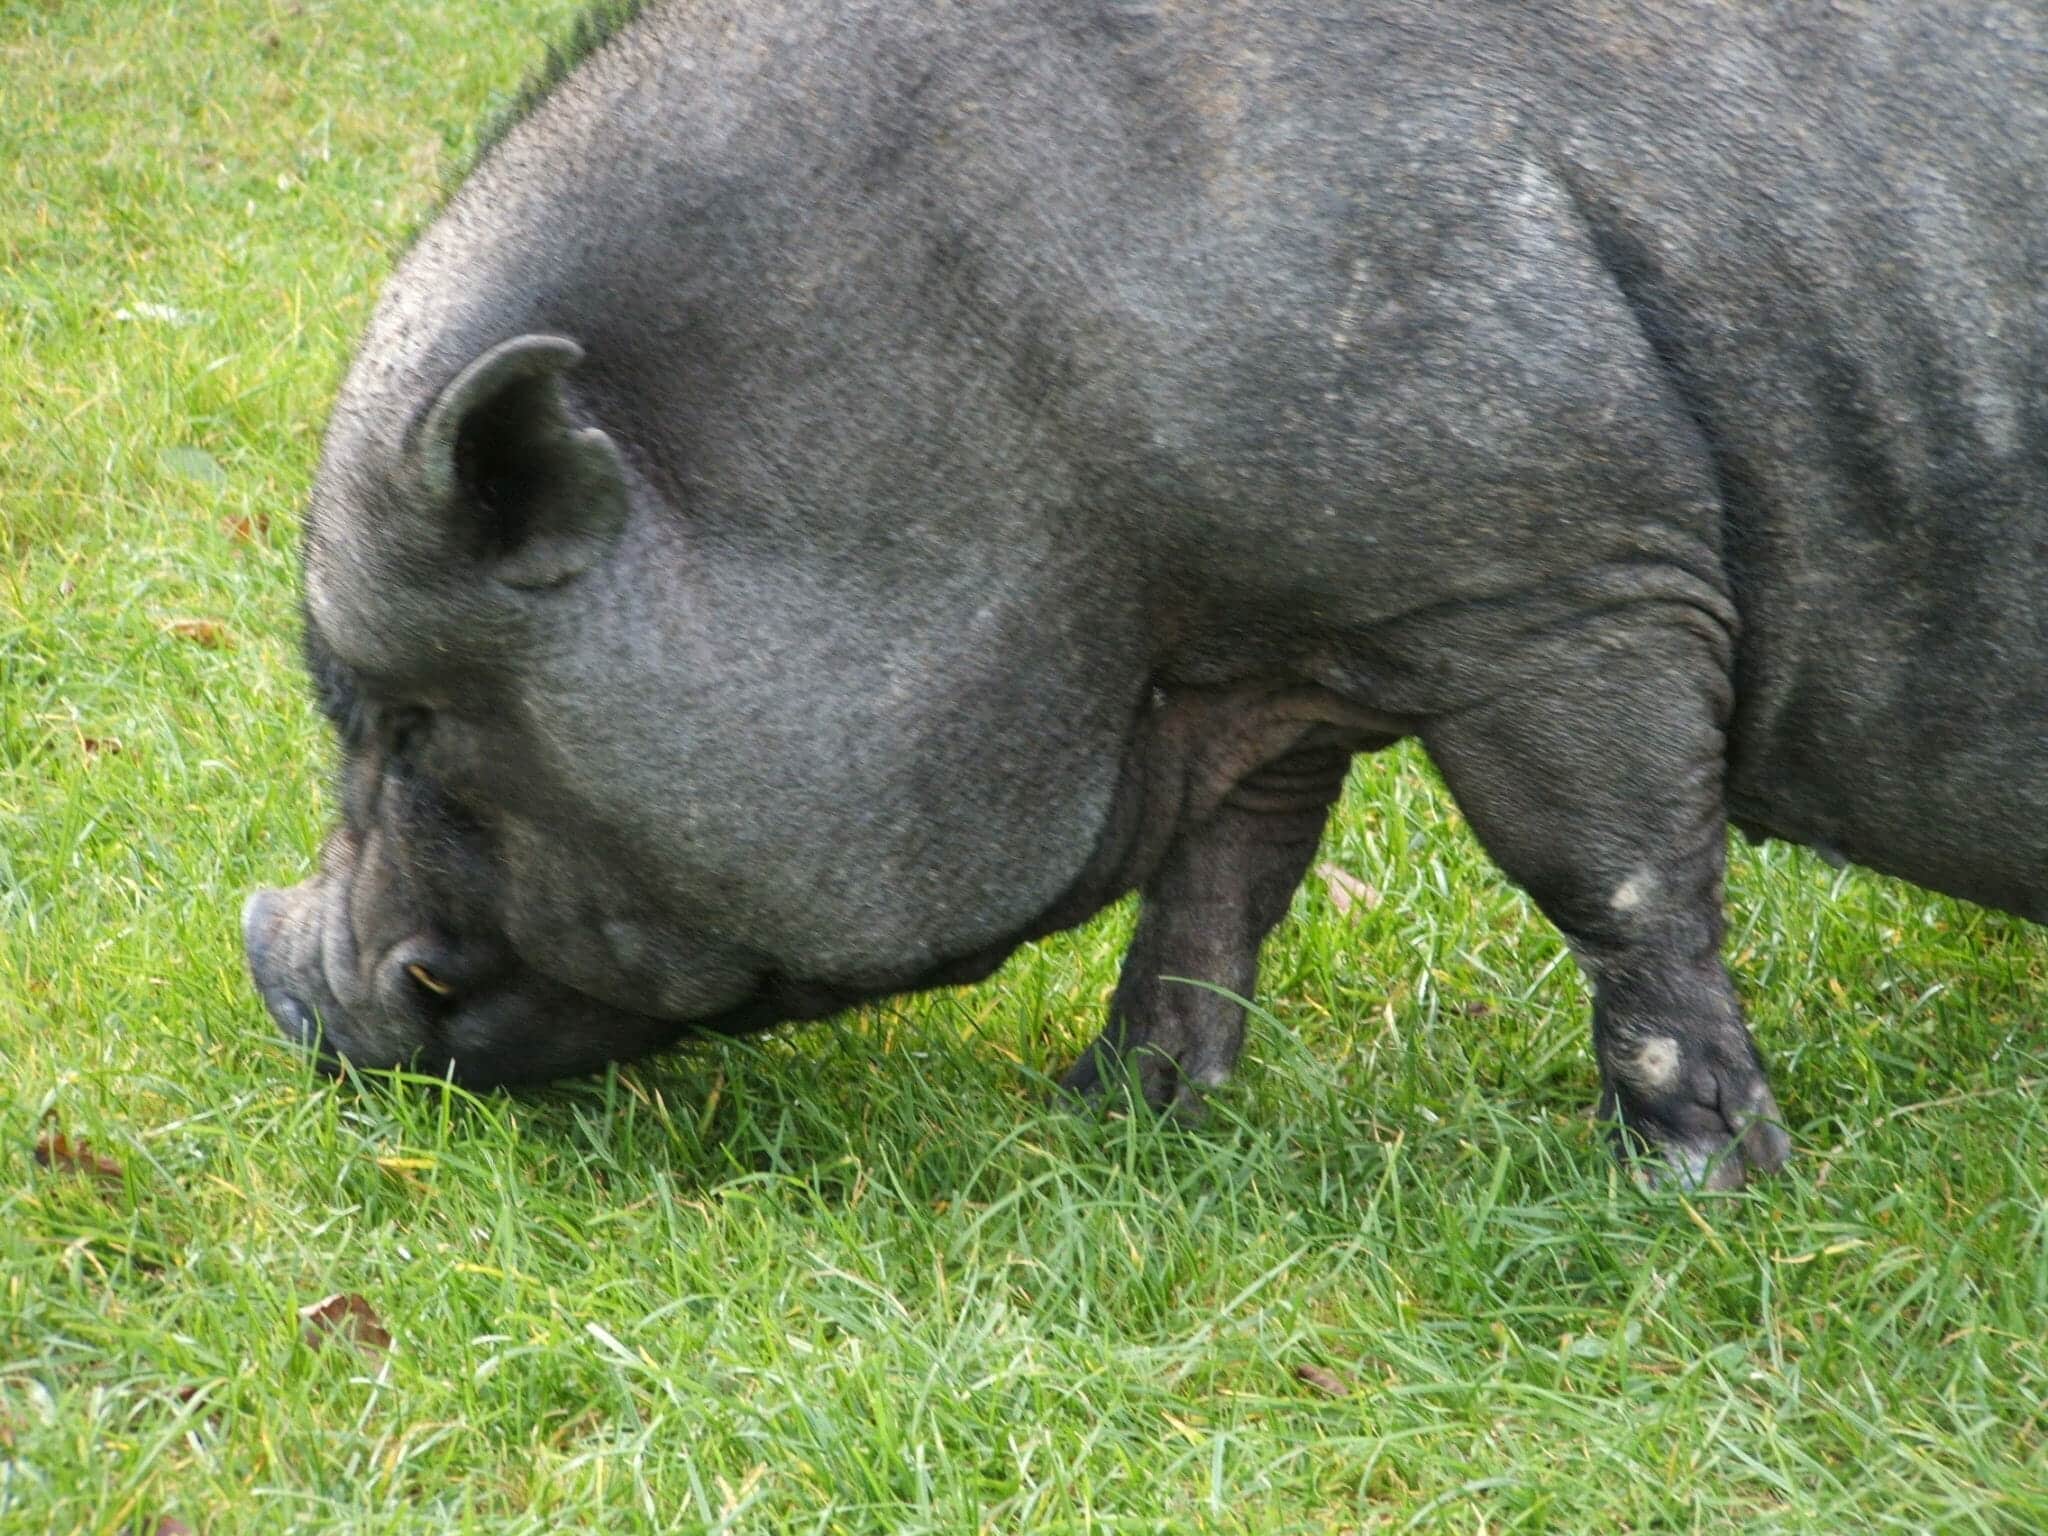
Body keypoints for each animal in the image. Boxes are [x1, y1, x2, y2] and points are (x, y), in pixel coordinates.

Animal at [243, 0, 2048, 1188]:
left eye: (407, 722)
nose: (279, 980)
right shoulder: (1266, 648)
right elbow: (1218, 886)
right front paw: (1117, 1115)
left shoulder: (1561, 574)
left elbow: (1613, 880)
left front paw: (1704, 1190)